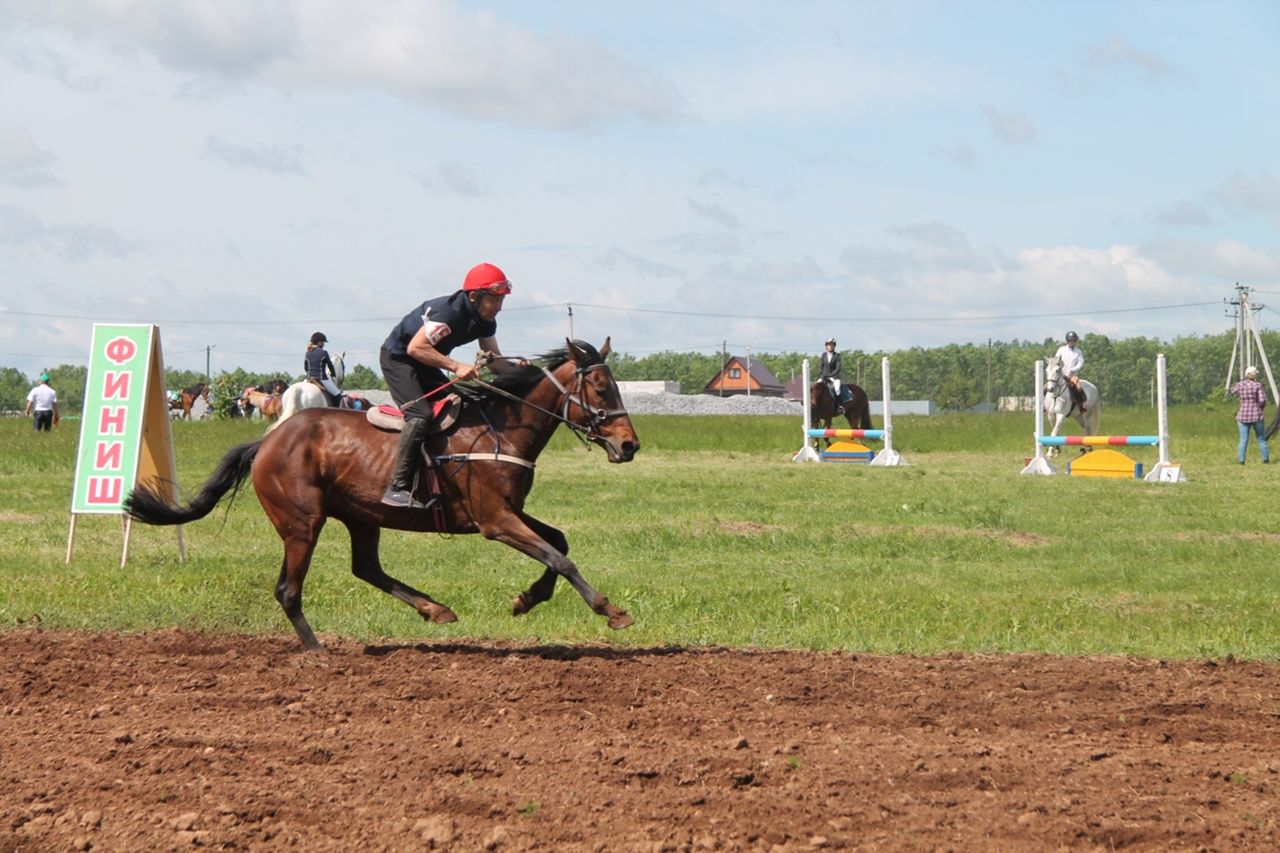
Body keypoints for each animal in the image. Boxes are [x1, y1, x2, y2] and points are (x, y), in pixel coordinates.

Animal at [127, 335, 640, 648]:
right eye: (599, 388)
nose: (629, 445)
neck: (503, 429)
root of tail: (267, 441)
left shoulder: (508, 511)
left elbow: (559, 543)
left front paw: (527, 599)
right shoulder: (495, 521)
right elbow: (560, 557)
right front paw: (610, 610)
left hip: (361, 516)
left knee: (366, 568)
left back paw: (435, 609)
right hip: (302, 522)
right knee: (288, 589)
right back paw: (317, 650)